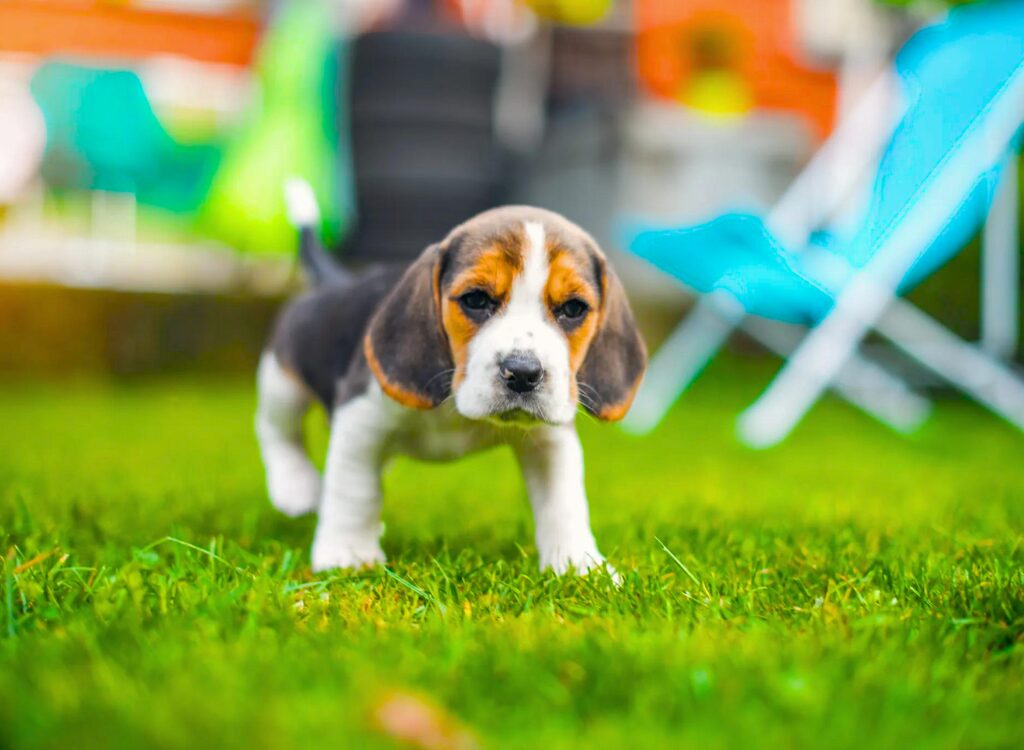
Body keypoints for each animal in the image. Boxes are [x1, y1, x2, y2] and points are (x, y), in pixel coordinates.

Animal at [256, 180, 643, 573]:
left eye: (573, 308)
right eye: (476, 299)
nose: (523, 372)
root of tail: (335, 280)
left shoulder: (550, 438)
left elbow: (564, 500)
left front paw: (578, 565)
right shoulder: (360, 417)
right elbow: (354, 490)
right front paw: (348, 554)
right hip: (281, 379)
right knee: (276, 428)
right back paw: (295, 486)